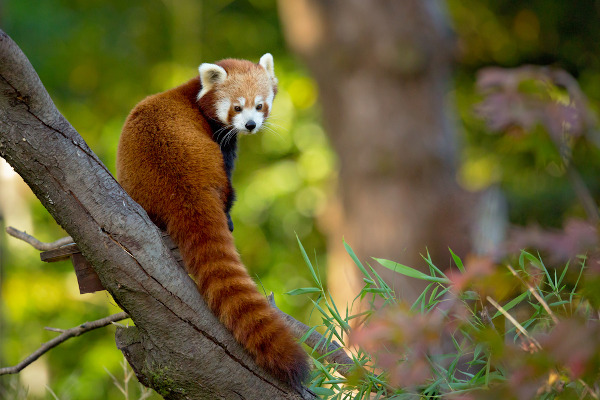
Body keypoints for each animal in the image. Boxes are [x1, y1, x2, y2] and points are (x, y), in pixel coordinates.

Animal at [115, 54, 310, 388]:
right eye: (237, 107)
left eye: (259, 105)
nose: (250, 125)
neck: (193, 94)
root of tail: (183, 188)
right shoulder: (220, 139)